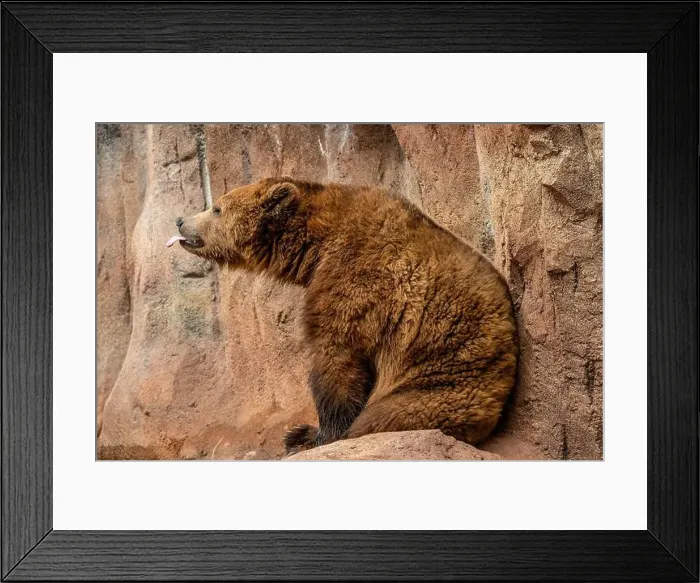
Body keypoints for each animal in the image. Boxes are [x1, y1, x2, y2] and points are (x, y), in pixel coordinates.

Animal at [170, 177, 518, 454]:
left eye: (217, 208)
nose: (180, 220)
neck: (315, 246)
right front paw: (300, 433)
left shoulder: (356, 277)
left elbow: (337, 357)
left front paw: (308, 435)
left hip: (441, 382)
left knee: (385, 416)